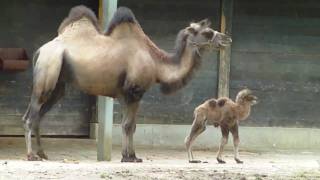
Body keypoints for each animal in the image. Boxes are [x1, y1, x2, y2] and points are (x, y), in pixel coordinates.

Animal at [23, 5, 232, 162]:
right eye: (207, 32)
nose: (227, 38)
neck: (156, 63)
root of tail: (39, 51)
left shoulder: (126, 95)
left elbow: (131, 125)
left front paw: (132, 156)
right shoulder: (134, 91)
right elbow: (128, 125)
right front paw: (128, 157)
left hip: (58, 85)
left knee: (38, 116)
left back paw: (43, 153)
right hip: (47, 74)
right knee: (30, 116)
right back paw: (31, 155)